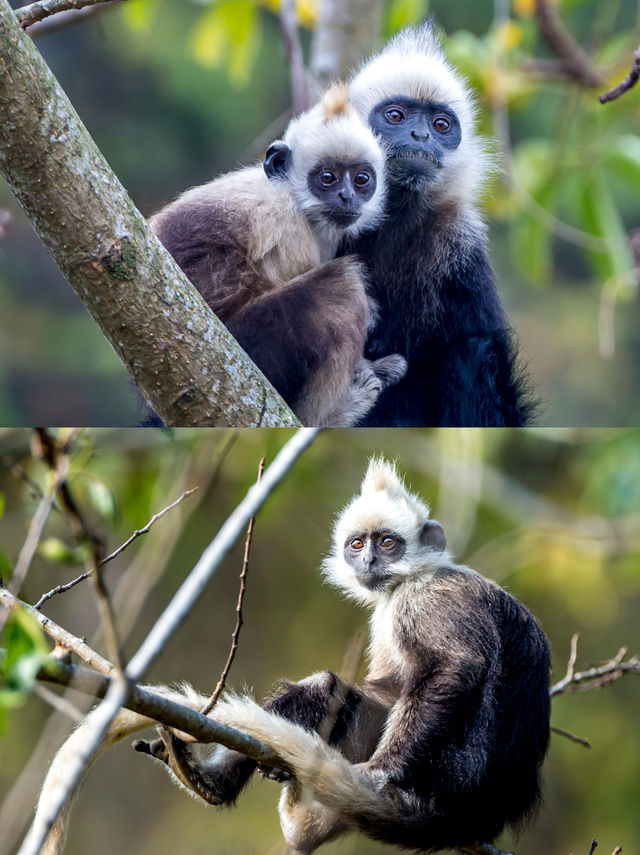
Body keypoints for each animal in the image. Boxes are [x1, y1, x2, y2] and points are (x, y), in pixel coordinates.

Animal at [33, 462, 552, 855]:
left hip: (444, 773)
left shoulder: (427, 601)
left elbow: (454, 668)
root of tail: (463, 818)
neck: (408, 579)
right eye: (358, 544)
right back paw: (211, 781)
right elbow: (381, 688)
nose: (368, 562)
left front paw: (383, 769)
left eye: (388, 543)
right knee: (329, 689)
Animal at [150, 87, 404, 428]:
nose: (347, 196)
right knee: (341, 292)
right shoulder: (284, 219)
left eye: (362, 180)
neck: (297, 201)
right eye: (327, 177)